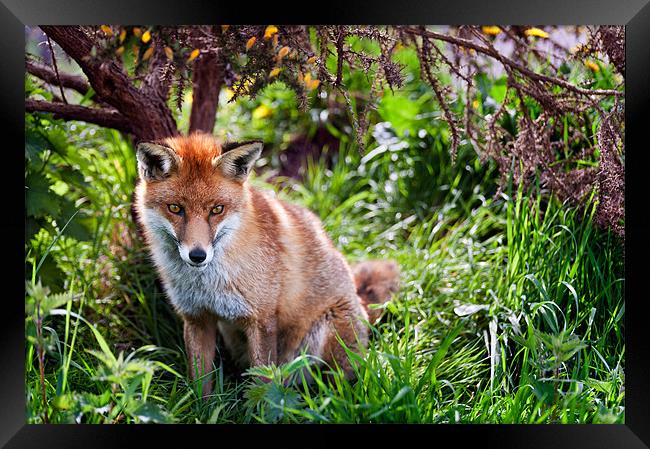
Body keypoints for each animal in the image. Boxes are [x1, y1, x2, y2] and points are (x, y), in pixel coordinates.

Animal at [132, 131, 398, 394]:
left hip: (327, 340)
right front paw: (203, 405)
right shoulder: (196, 318)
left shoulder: (261, 320)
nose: (198, 255)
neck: (208, 283)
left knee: (338, 384)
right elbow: (200, 384)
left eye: (217, 209)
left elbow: (263, 384)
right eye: (175, 208)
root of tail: (360, 303)